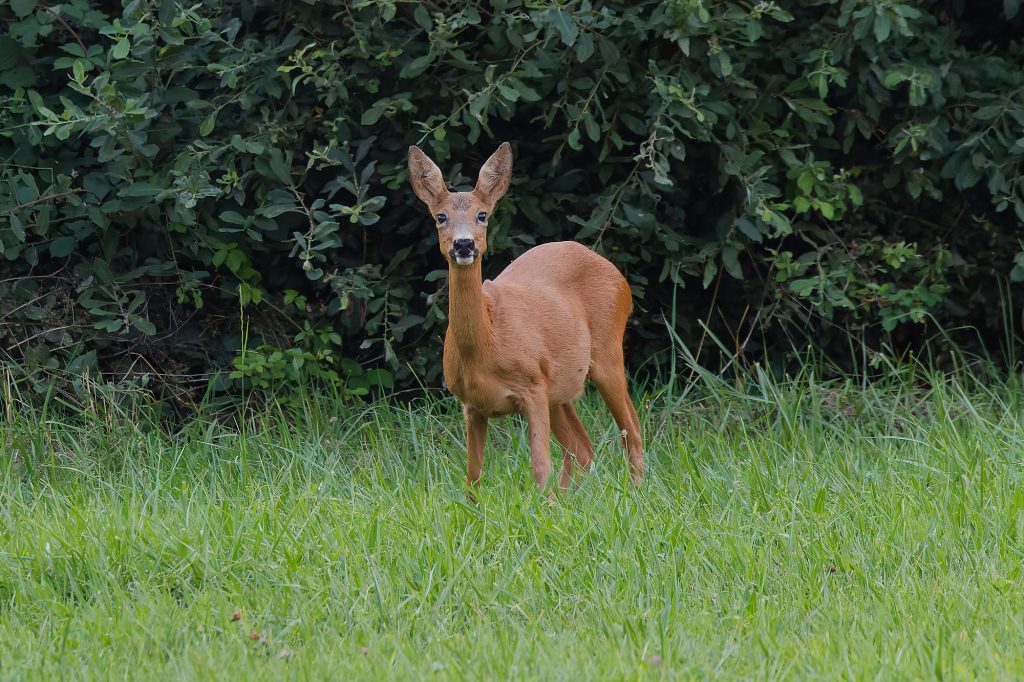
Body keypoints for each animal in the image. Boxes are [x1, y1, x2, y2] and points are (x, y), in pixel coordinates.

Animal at [407, 142, 644, 493]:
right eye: (441, 217)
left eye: (482, 215)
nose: (464, 244)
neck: (487, 345)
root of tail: (616, 274)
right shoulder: (471, 404)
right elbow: (472, 476)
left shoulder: (532, 384)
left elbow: (540, 465)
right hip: (559, 388)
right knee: (583, 448)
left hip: (607, 350)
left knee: (631, 428)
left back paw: (636, 491)